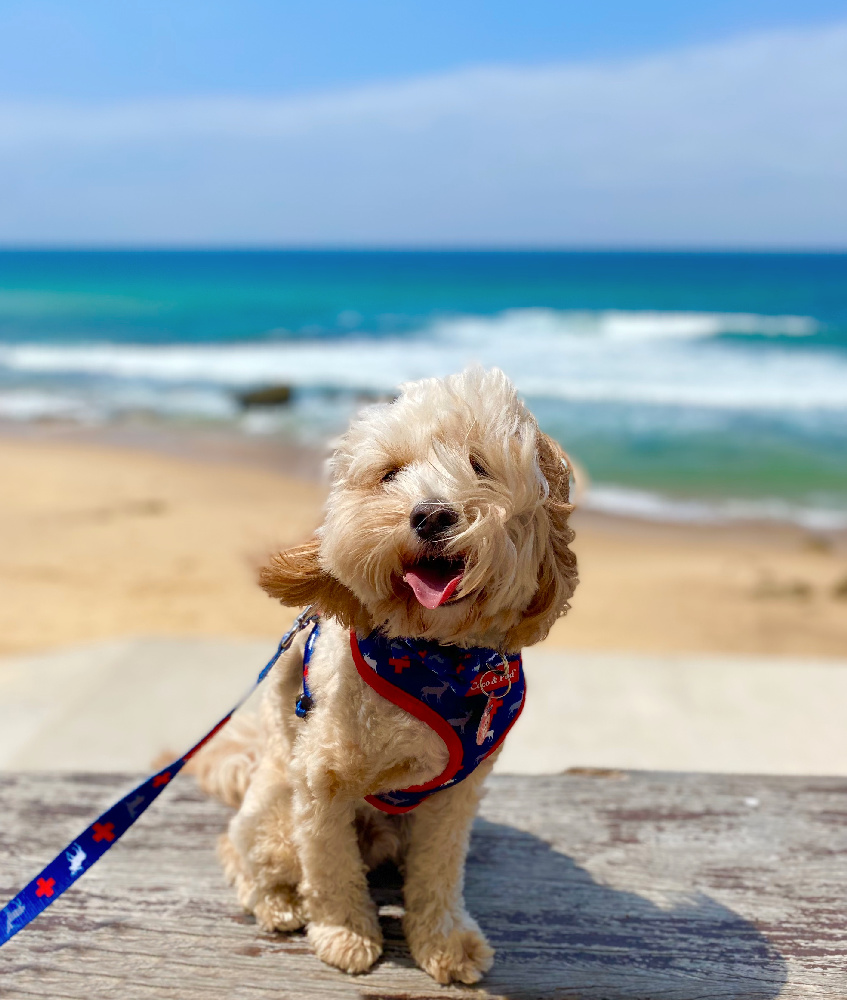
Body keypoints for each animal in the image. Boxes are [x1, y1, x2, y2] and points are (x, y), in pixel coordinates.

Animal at [194, 368, 576, 984]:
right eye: (390, 474)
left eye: (479, 466)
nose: (432, 514)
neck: (435, 654)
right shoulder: (321, 781)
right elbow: (329, 868)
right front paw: (345, 934)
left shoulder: (457, 795)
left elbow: (439, 872)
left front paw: (444, 942)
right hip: (274, 813)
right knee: (243, 856)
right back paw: (279, 904)